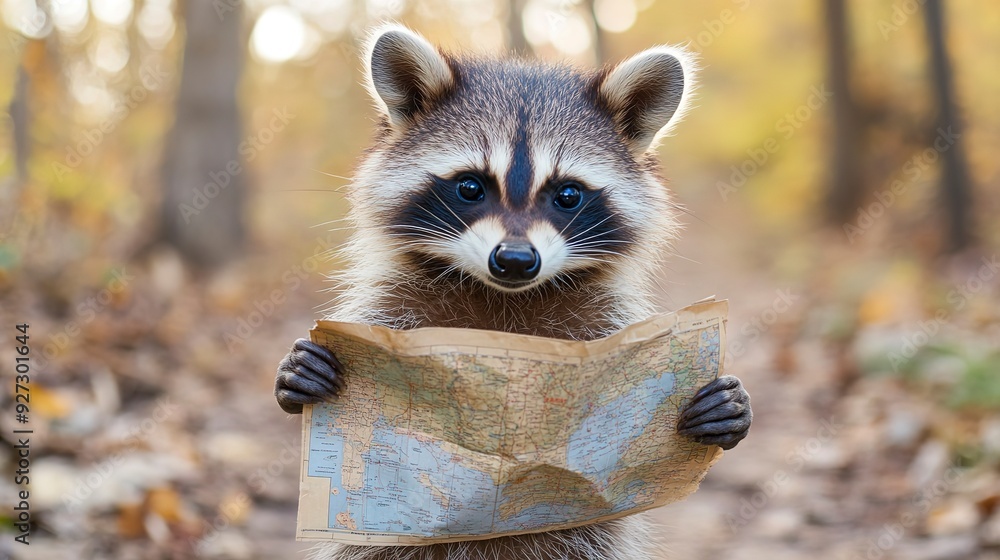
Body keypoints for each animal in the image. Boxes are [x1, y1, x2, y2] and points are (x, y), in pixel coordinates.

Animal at [274, 23, 752, 560]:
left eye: (567, 194)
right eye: (469, 187)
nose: (516, 261)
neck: (505, 297)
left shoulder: (604, 318)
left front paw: (725, 409)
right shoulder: (395, 302)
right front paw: (297, 373)